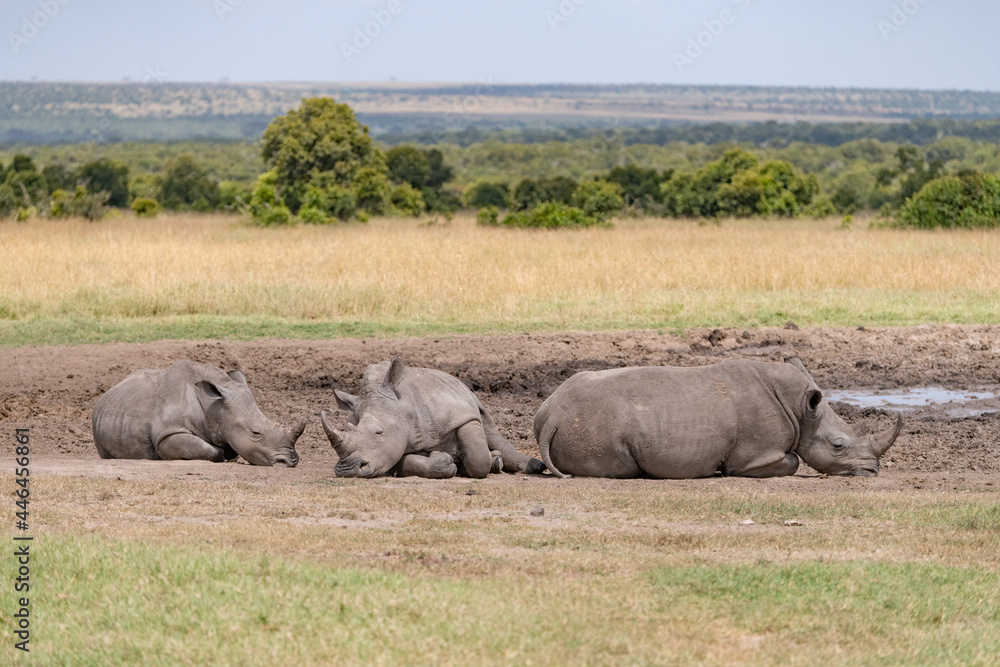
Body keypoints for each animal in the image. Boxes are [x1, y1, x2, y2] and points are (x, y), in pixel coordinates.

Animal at [92, 360, 306, 466]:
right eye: (255, 433)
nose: (290, 462)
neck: (214, 407)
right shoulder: (168, 433)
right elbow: (206, 448)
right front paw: (220, 455)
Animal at [320, 357, 546, 478]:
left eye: (378, 432)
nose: (346, 470)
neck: (404, 406)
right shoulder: (393, 446)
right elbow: (407, 462)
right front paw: (444, 463)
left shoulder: (461, 415)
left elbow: (477, 458)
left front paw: (481, 463)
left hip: (472, 398)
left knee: (489, 430)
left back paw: (525, 465)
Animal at [534, 357, 901, 479]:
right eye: (839, 446)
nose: (872, 471)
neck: (802, 410)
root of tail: (553, 414)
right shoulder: (755, 455)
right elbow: (793, 461)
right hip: (595, 424)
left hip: (558, 413)